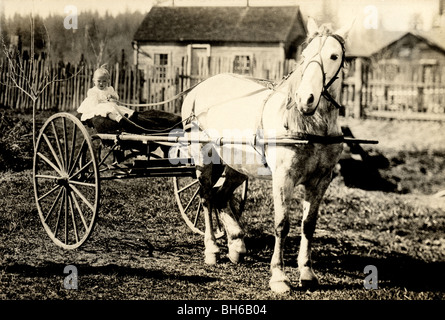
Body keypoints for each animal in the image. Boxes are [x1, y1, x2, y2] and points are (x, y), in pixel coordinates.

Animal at [180, 18, 350, 292]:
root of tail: (198, 88)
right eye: (305, 55)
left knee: (219, 196)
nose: (306, 99)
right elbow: (282, 224)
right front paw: (278, 276)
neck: (312, 128)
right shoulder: (283, 177)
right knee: (205, 198)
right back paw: (212, 249)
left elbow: (308, 225)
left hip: (237, 165)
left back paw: (236, 244)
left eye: (334, 56)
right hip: (203, 157)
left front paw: (307, 272)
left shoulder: (321, 180)